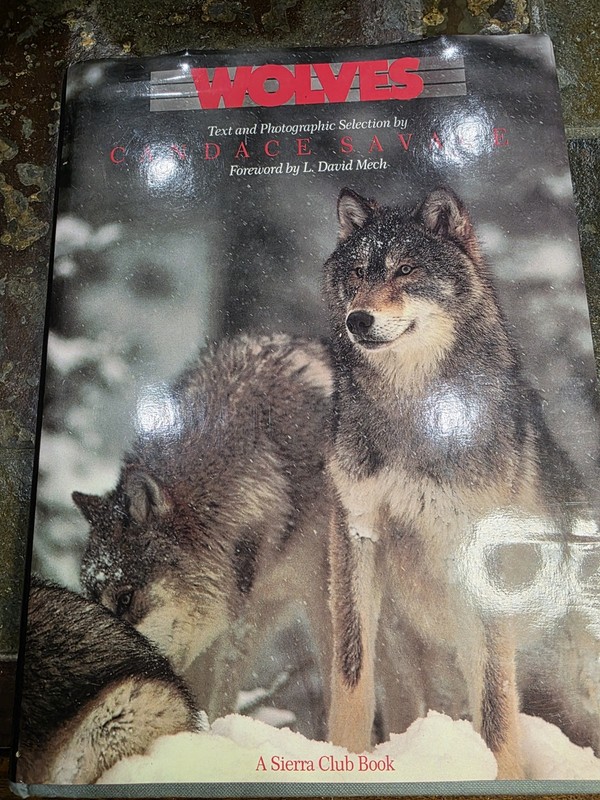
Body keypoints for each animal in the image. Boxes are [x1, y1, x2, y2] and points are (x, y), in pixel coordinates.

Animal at [323, 186, 590, 778]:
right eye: (358, 273)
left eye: (406, 269)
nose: (357, 319)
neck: (413, 413)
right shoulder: (356, 532)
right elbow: (351, 671)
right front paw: (341, 758)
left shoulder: (484, 555)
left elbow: (493, 701)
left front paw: (502, 776)